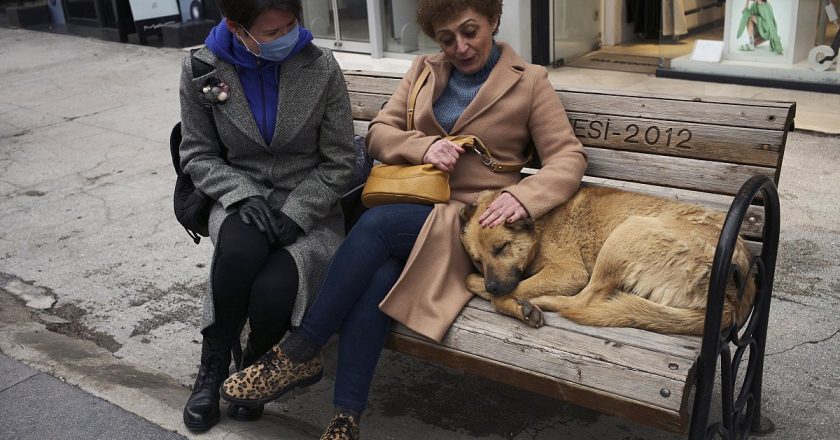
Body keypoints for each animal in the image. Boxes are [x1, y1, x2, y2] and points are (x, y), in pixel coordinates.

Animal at [460, 185, 756, 334]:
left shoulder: (569, 272)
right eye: (477, 260)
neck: (540, 223)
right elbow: (469, 280)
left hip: (626, 233)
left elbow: (507, 294)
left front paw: (516, 304)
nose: (492, 286)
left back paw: (541, 302)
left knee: (585, 299)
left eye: (502, 248)